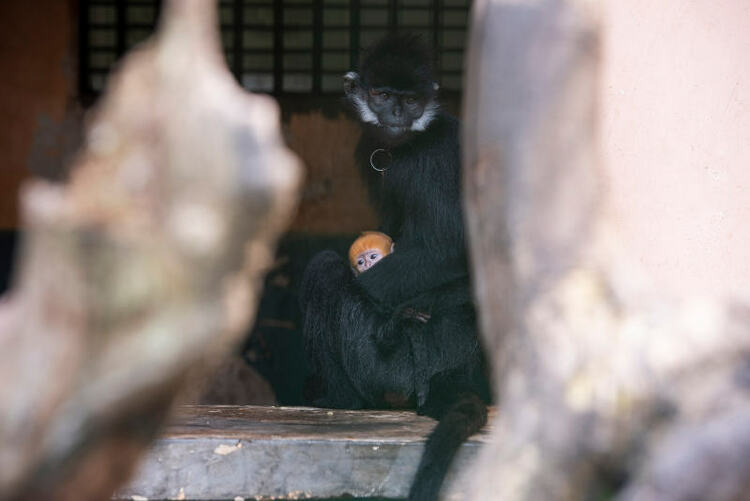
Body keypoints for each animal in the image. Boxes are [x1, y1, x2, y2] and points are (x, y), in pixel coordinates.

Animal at [300, 33, 494, 498]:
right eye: (383, 96)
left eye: (410, 100)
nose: (396, 115)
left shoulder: (427, 160)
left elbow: (445, 250)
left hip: (390, 369)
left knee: (323, 272)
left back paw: (346, 403)